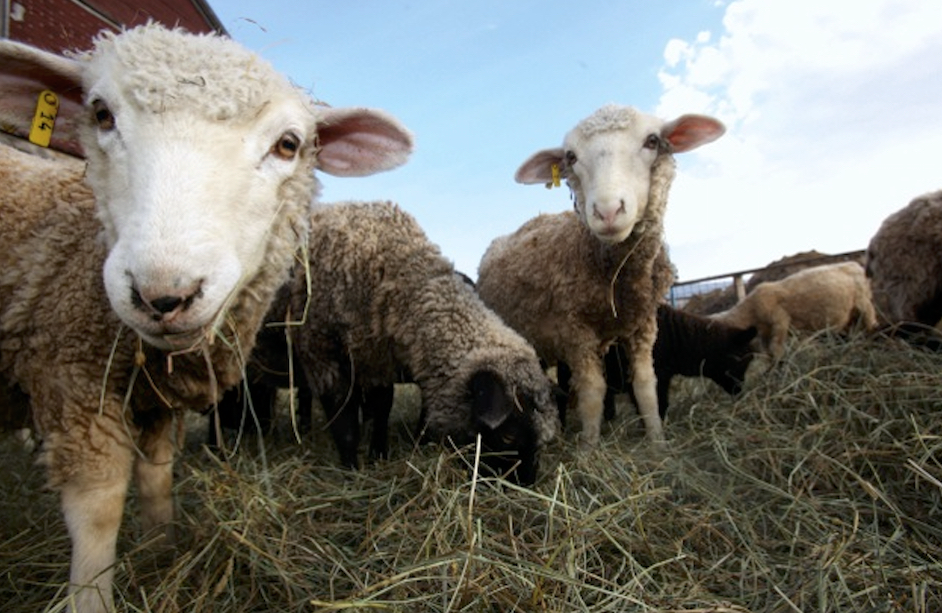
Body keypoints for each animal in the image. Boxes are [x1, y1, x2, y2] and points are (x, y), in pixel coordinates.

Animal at [0, 25, 412, 612]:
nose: (163, 294)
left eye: (288, 144)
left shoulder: (154, 399)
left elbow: (156, 477)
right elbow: (100, 509)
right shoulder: (72, 377)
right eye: (101, 114)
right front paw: (93, 595)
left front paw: (162, 554)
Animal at [476, 104, 728, 450]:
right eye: (571, 156)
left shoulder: (644, 324)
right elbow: (593, 392)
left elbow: (646, 386)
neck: (616, 280)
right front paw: (588, 450)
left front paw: (657, 442)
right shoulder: (576, 330)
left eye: (652, 140)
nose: (608, 211)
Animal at [556, 304, 764, 424]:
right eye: (738, 359)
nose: (739, 390)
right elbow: (653, 405)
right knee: (561, 398)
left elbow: (661, 403)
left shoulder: (662, 377)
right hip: (567, 372)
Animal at [712, 258, 880, 358]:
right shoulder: (766, 333)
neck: (750, 311)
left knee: (871, 324)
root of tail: (855, 265)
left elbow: (776, 350)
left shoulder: (780, 322)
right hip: (849, 314)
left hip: (864, 303)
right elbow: (768, 353)